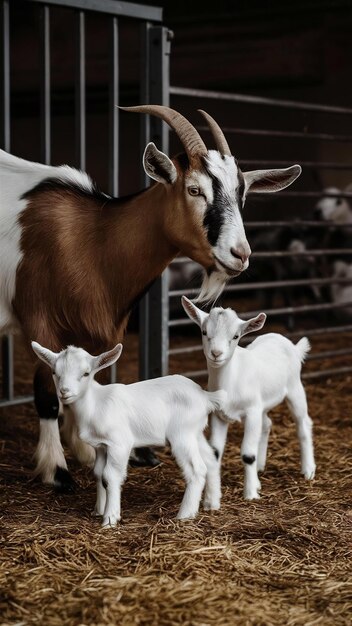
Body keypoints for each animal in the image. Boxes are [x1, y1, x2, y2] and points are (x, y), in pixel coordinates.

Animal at [0, 106, 302, 488]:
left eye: (242, 195)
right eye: (194, 189)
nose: (240, 254)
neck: (88, 241)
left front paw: (86, 452)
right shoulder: (37, 319)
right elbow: (47, 395)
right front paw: (56, 470)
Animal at [32, 338, 226, 524]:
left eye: (86, 373)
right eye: (54, 372)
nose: (64, 391)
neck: (94, 403)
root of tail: (205, 397)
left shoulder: (119, 443)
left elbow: (110, 476)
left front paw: (110, 518)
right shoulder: (100, 446)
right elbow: (99, 473)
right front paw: (98, 509)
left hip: (182, 435)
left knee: (196, 469)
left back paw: (185, 515)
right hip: (195, 432)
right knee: (210, 458)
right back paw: (212, 503)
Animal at [182, 296, 316, 498]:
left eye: (236, 336)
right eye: (204, 332)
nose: (216, 353)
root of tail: (288, 343)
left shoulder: (252, 411)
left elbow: (248, 454)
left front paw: (251, 493)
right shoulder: (220, 415)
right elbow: (215, 452)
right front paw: (211, 495)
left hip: (294, 388)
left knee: (303, 424)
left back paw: (308, 470)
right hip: (263, 403)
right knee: (267, 424)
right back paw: (260, 467)